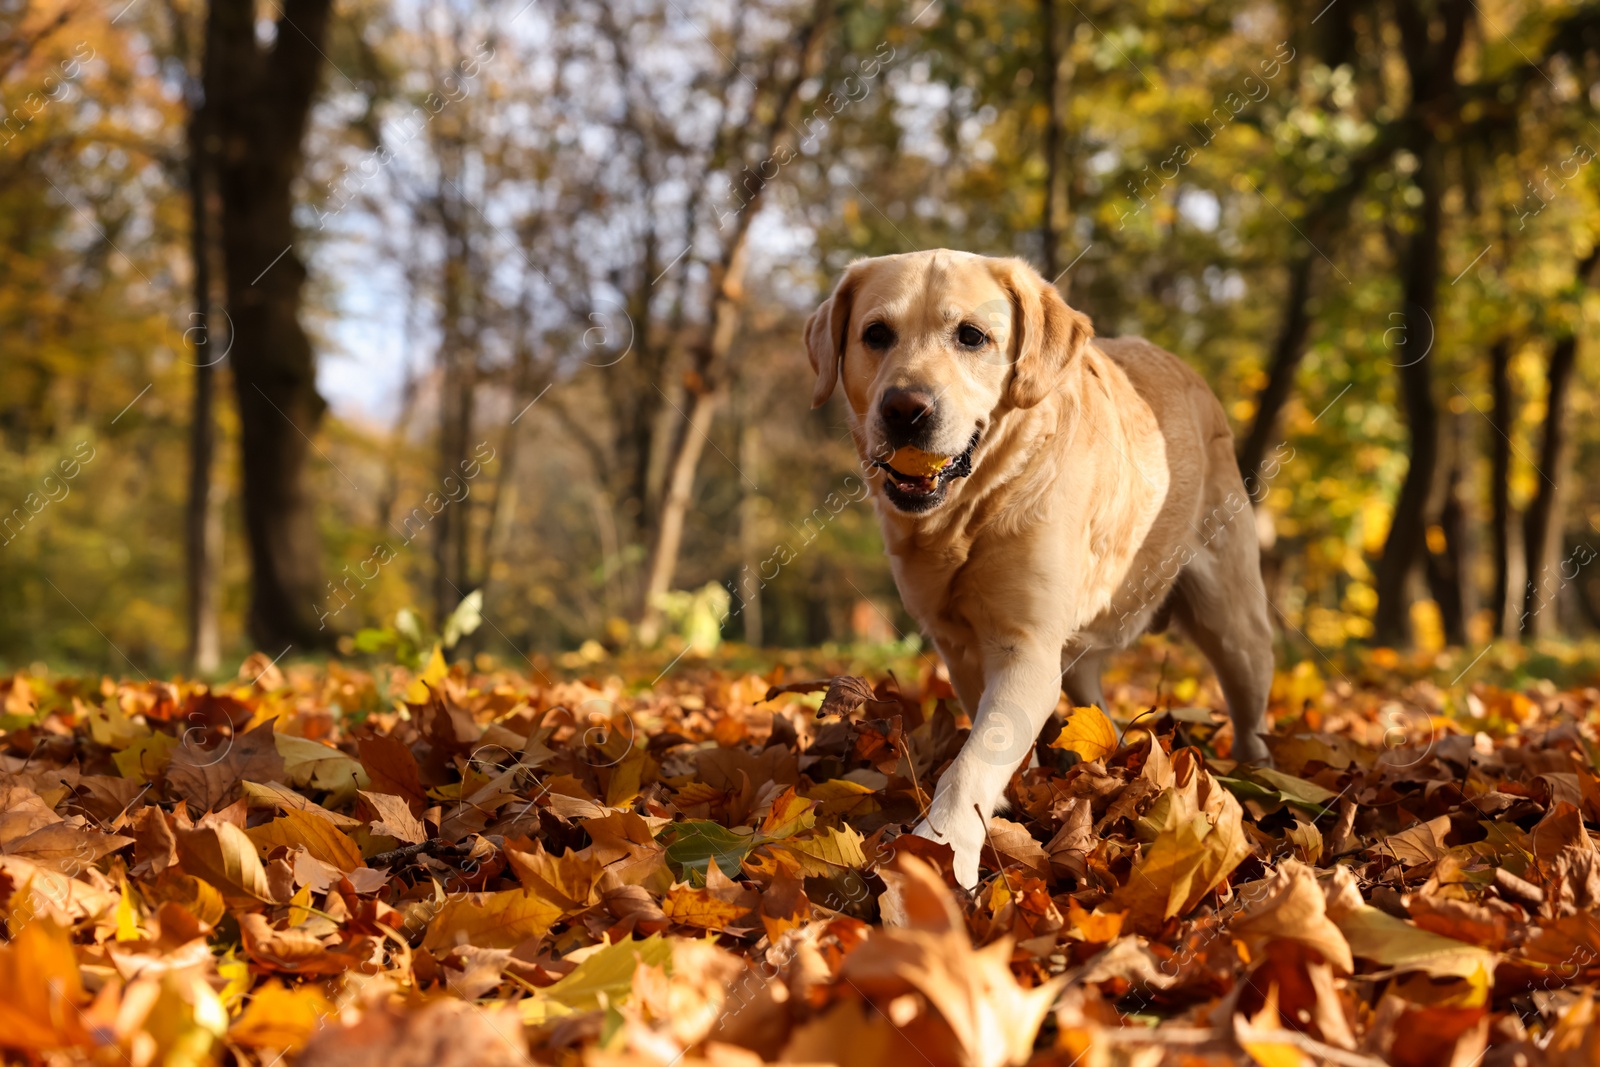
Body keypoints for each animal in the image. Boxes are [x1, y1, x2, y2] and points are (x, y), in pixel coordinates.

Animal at [800, 247, 1273, 883]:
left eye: (971, 336)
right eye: (875, 334)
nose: (905, 408)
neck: (972, 510)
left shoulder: (1024, 647)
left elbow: (973, 760)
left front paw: (942, 848)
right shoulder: (960, 647)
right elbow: (991, 737)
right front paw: (1005, 799)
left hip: (1234, 624)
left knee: (1248, 712)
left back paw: (1259, 778)